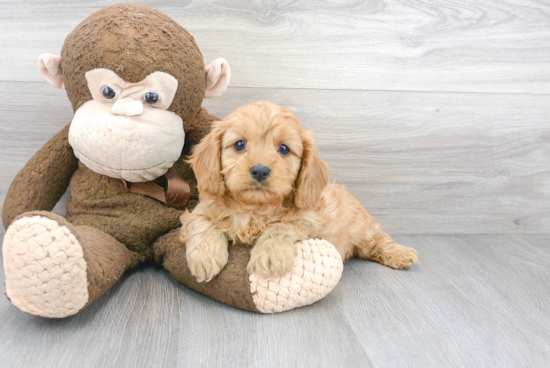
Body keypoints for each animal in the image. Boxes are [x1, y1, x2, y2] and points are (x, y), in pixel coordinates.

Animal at [181, 100, 418, 282]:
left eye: (284, 149)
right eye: (239, 144)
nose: (260, 170)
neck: (253, 208)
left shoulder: (309, 220)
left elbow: (280, 226)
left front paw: (270, 256)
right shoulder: (201, 209)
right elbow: (202, 223)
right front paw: (204, 257)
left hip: (361, 228)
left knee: (379, 239)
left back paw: (401, 253)